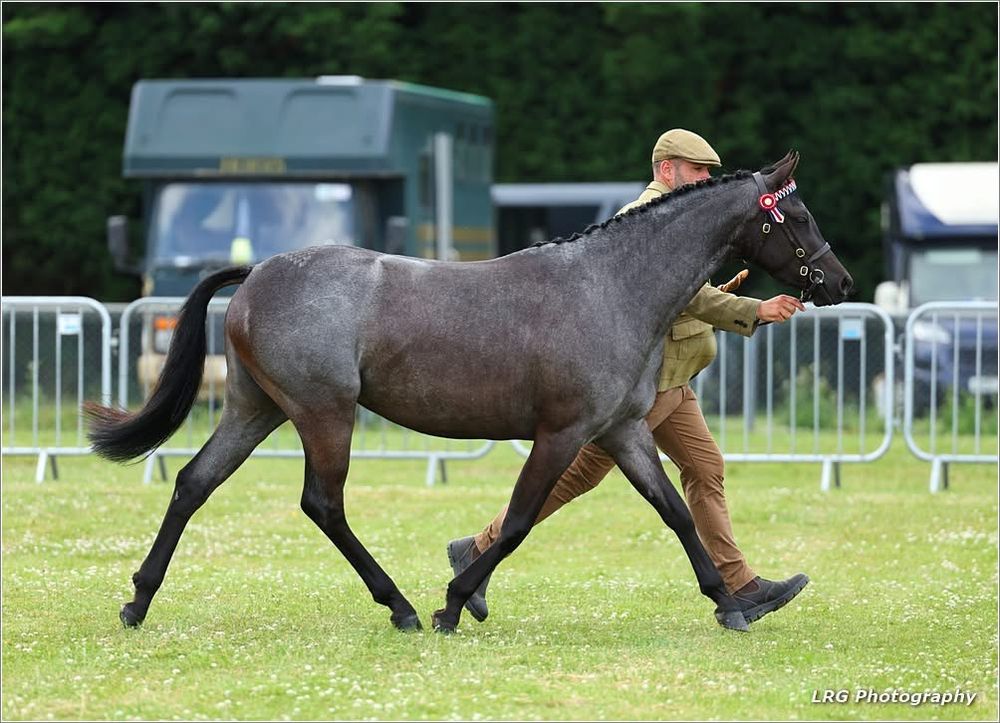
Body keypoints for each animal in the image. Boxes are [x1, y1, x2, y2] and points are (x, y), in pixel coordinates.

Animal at [86, 151, 853, 634]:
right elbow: (517, 521)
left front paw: (732, 603)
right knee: (322, 503)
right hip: (324, 413)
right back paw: (399, 606)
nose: (839, 281)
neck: (610, 286)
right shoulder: (562, 432)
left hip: (256, 408)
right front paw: (454, 604)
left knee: (193, 482)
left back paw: (137, 601)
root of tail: (257, 273)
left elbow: (677, 512)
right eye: (797, 216)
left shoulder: (623, 430)